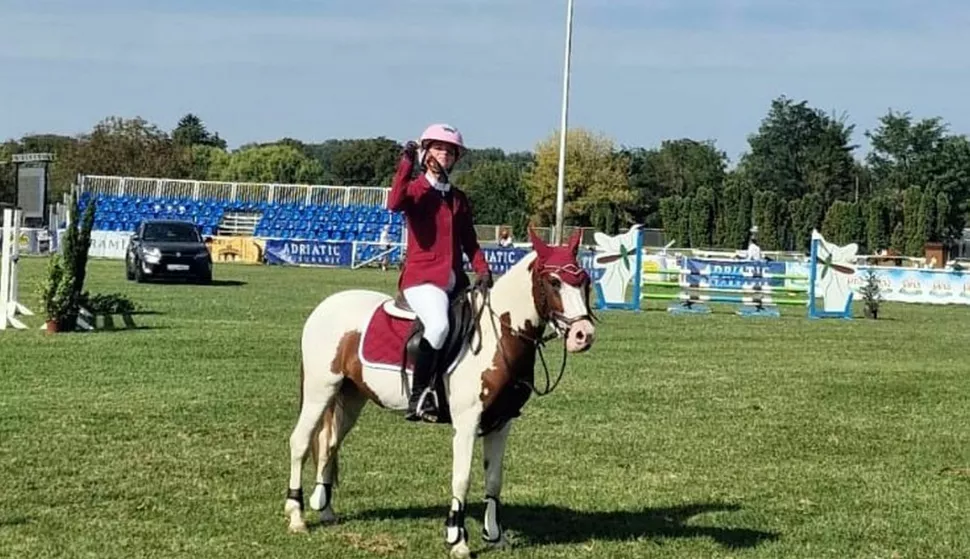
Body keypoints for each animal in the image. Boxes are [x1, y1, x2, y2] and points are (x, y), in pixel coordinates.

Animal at [283, 229, 597, 558]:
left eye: (585, 280)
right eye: (554, 282)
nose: (583, 335)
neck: (500, 336)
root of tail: (325, 307)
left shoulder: (502, 423)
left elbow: (494, 480)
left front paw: (495, 537)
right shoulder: (467, 423)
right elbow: (462, 479)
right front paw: (457, 539)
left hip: (351, 396)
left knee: (329, 445)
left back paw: (326, 511)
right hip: (320, 391)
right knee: (301, 442)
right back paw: (296, 516)